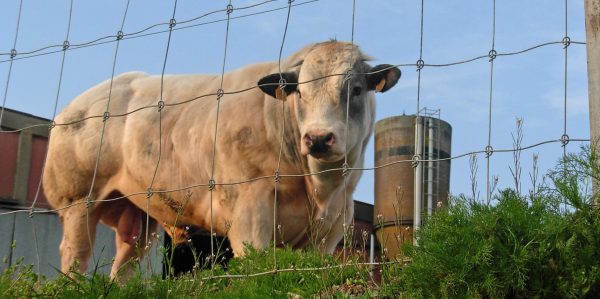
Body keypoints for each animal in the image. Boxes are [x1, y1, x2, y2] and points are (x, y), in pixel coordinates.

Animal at [44, 41, 400, 280]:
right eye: (299, 91)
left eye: (356, 89)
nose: (318, 138)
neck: (318, 189)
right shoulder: (249, 215)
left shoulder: (330, 229)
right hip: (78, 201)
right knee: (75, 257)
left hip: (137, 218)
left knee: (124, 266)